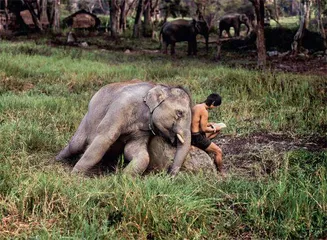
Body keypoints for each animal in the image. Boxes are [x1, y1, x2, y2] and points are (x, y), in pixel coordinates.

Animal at [56, 80, 193, 176]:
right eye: (180, 113)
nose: (169, 174)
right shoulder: (122, 106)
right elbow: (105, 138)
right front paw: (75, 175)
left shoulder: (143, 130)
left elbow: (136, 151)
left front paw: (123, 177)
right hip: (87, 120)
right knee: (76, 145)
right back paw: (58, 159)